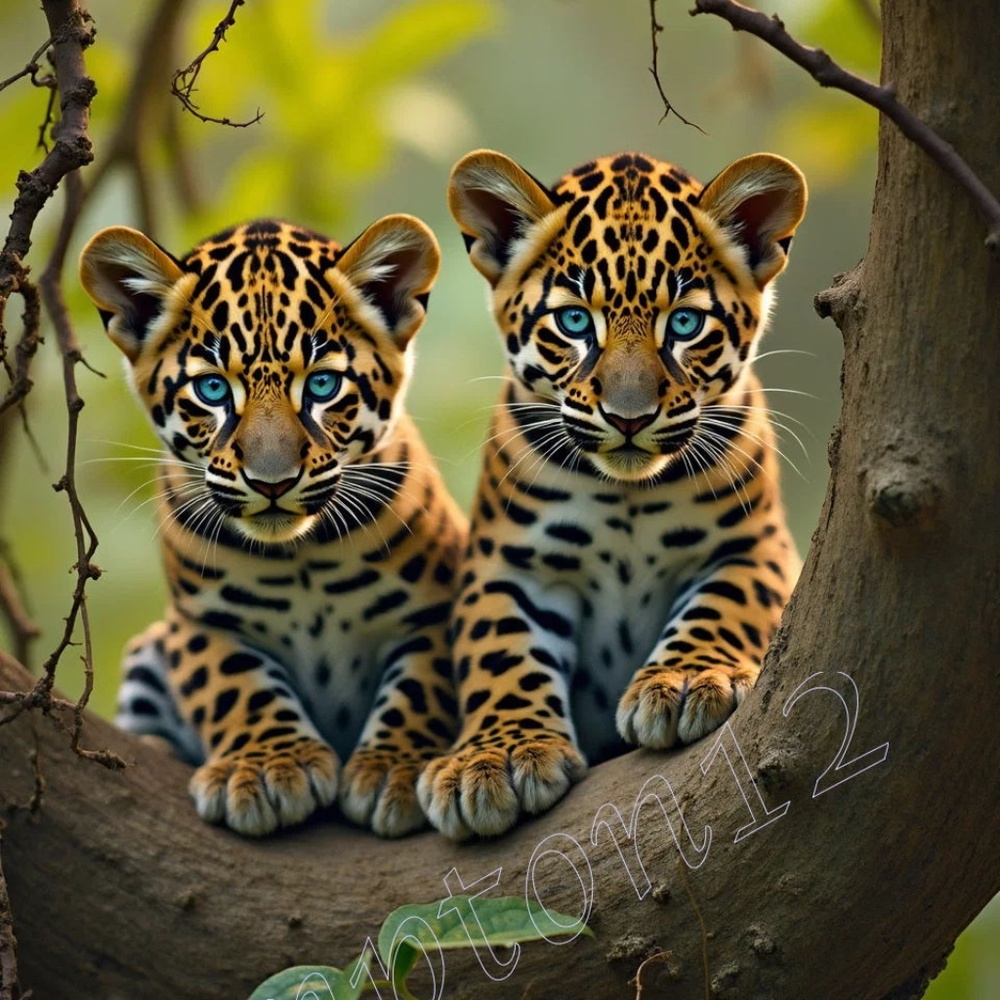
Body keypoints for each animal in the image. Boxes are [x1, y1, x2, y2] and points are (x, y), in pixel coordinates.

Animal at [79, 215, 466, 838]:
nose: (272, 481)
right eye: (212, 389)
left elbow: (420, 686)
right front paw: (267, 767)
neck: (300, 556)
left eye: (323, 386)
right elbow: (233, 685)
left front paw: (396, 765)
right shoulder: (201, 622)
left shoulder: (432, 608)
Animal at [417, 149, 808, 839]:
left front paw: (686, 679)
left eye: (685, 322)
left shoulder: (756, 547)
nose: (630, 418)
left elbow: (725, 604)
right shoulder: (510, 565)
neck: (629, 495)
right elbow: (500, 652)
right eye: (574, 320)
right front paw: (494, 757)